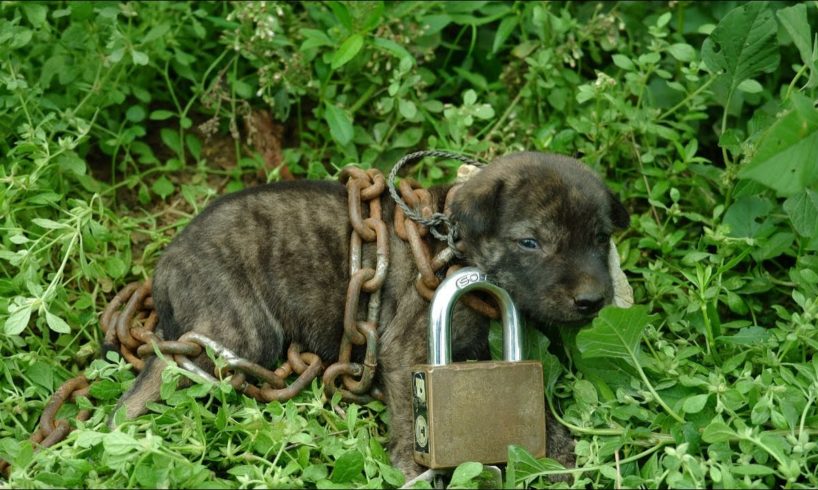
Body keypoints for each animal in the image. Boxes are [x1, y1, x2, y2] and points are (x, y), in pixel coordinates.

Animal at [111, 151, 628, 476]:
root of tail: (164, 268)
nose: (592, 300)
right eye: (530, 243)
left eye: (601, 238)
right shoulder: (407, 352)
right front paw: (412, 471)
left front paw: (555, 452)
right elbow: (409, 425)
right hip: (234, 336)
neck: (451, 247)